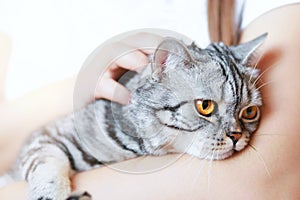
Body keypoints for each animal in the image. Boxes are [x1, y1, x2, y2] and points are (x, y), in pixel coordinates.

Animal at [0, 33, 268, 200]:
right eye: (205, 106)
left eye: (249, 112)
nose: (236, 136)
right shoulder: (44, 137)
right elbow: (46, 166)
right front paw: (50, 193)